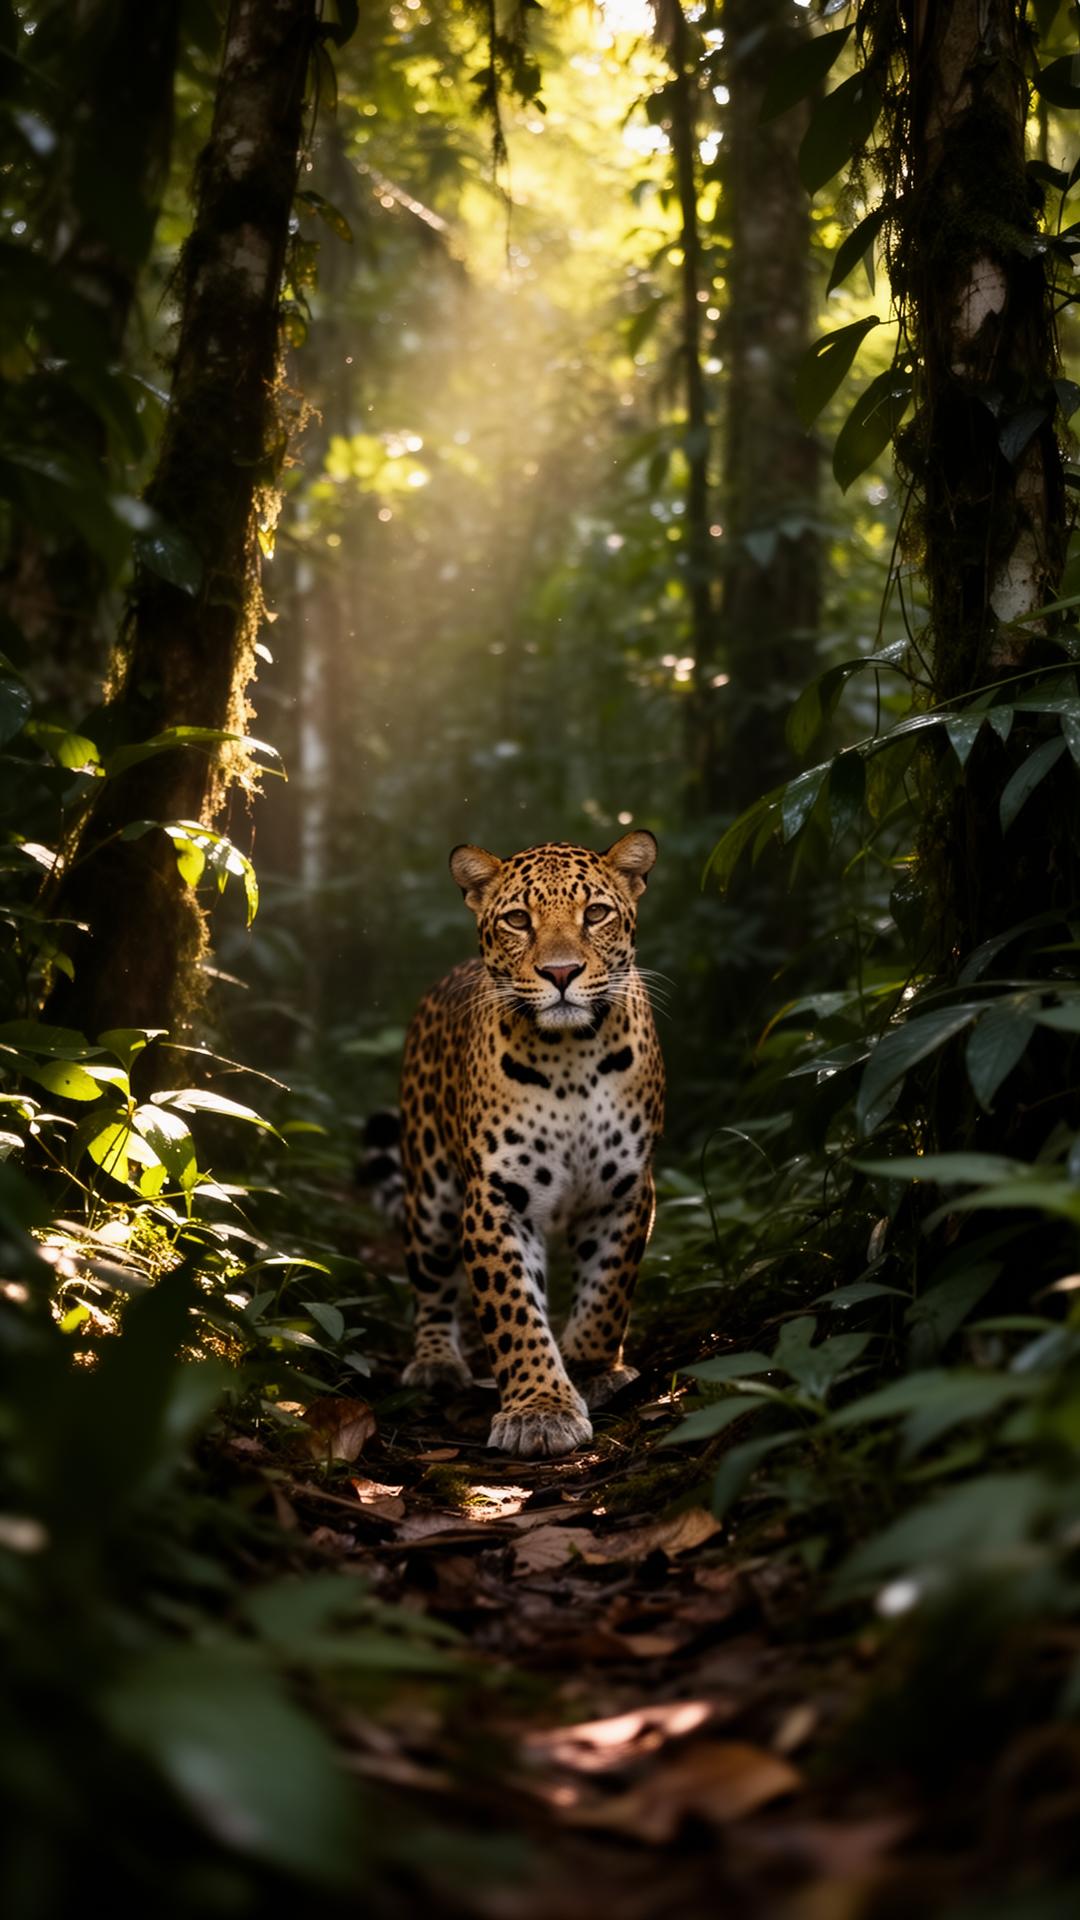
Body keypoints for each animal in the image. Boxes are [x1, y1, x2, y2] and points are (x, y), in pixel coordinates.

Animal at [395, 830, 664, 1460]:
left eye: (596, 914)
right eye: (518, 919)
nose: (561, 971)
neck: (571, 1059)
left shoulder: (625, 1190)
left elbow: (608, 1290)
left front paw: (592, 1368)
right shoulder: (496, 1199)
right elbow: (514, 1311)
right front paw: (540, 1410)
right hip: (430, 1191)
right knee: (430, 1280)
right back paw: (436, 1361)